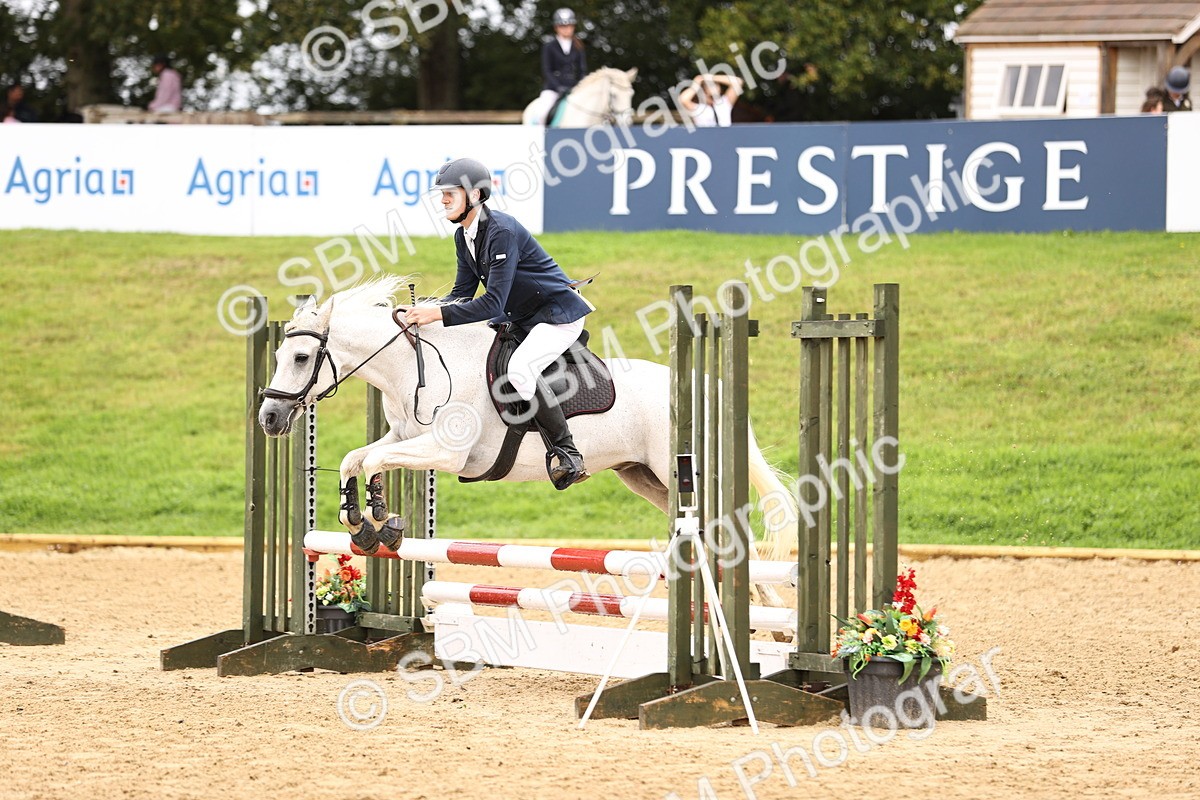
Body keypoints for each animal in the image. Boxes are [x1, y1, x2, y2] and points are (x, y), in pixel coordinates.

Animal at [257, 276, 799, 604]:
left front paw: (383, 526)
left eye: (302, 357)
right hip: (647, 479)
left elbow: (372, 465)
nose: (268, 418)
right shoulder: (402, 438)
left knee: (726, 531)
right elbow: (356, 459)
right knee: (711, 536)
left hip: (683, 472)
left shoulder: (444, 452)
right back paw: (760, 612)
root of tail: (706, 385)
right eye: (281, 354)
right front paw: (359, 522)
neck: (415, 367)